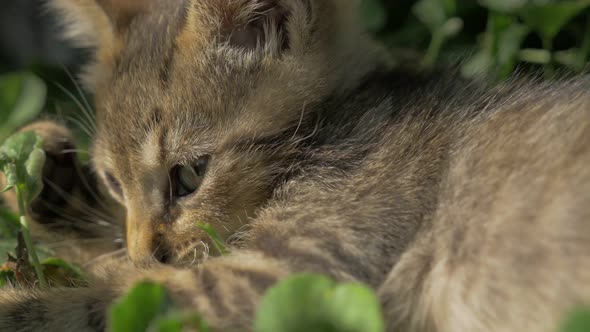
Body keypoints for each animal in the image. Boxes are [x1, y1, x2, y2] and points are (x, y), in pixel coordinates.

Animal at [1, 0, 590, 330]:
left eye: (189, 176)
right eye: (113, 181)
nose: (148, 252)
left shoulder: (291, 281)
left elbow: (98, 300)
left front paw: (18, 297)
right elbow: (118, 262)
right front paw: (46, 179)